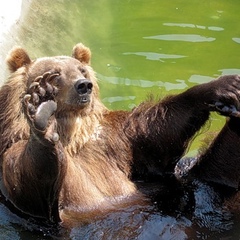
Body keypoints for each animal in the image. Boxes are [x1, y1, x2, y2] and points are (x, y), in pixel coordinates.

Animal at [0, 42, 240, 224]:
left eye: (81, 70)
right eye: (55, 74)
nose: (83, 85)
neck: (73, 136)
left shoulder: (116, 139)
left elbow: (155, 133)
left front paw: (221, 87)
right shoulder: (15, 154)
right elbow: (29, 182)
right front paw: (42, 110)